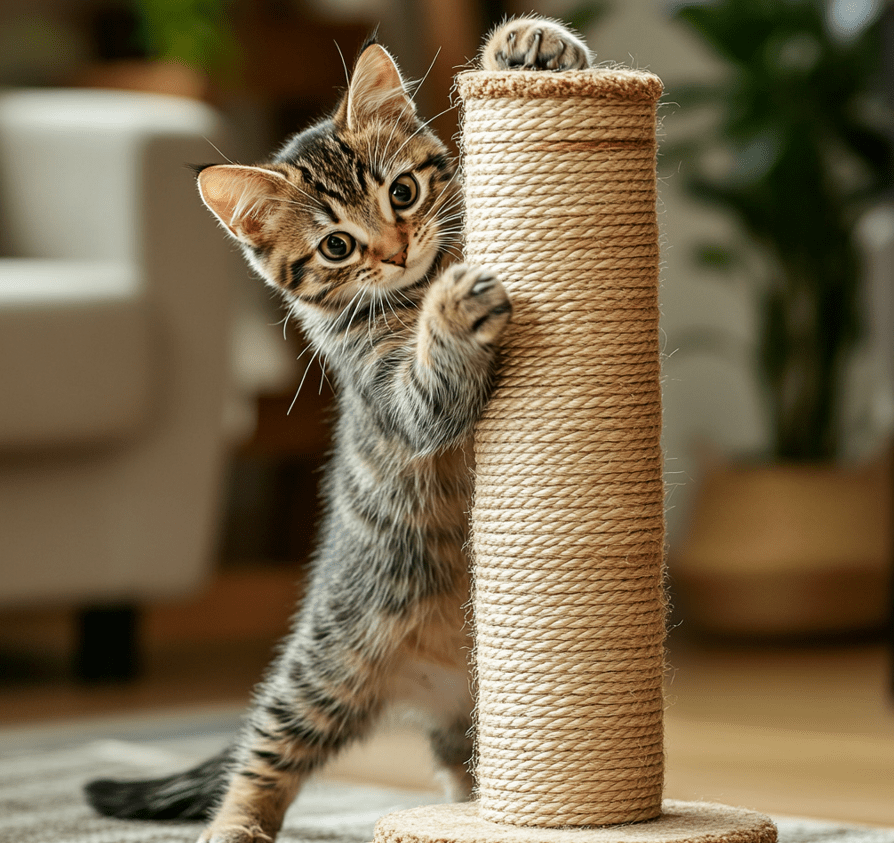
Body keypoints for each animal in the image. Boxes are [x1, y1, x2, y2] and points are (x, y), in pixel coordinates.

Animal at [82, 14, 588, 843]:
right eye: (337, 247)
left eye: (403, 191)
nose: (396, 250)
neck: (412, 288)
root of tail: (431, 688)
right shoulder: (394, 395)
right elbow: (431, 384)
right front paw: (454, 308)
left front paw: (527, 46)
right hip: (324, 671)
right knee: (262, 755)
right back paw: (232, 827)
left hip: (458, 725)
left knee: (460, 772)